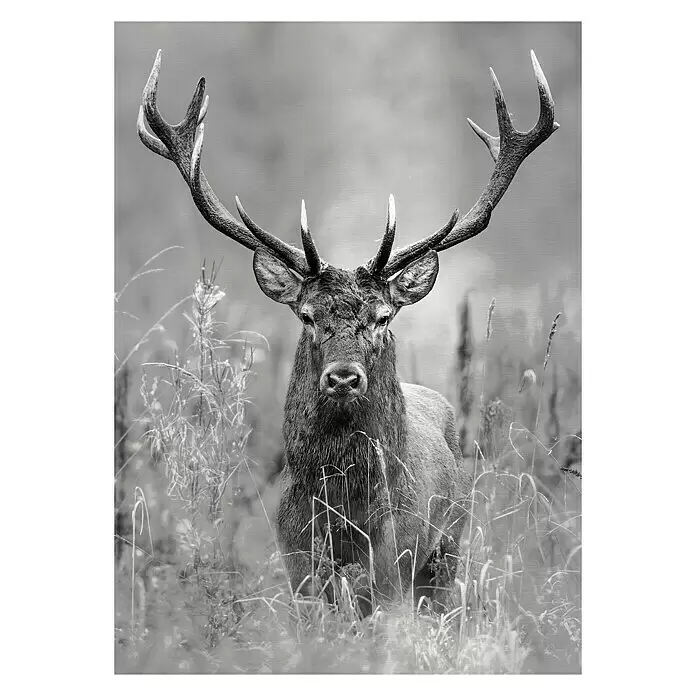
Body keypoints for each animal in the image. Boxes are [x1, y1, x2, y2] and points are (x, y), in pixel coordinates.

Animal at [137, 49, 558, 614]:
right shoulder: (296, 559)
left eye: (382, 316)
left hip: (448, 548)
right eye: (307, 315)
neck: (343, 508)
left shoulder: (395, 559)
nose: (342, 378)